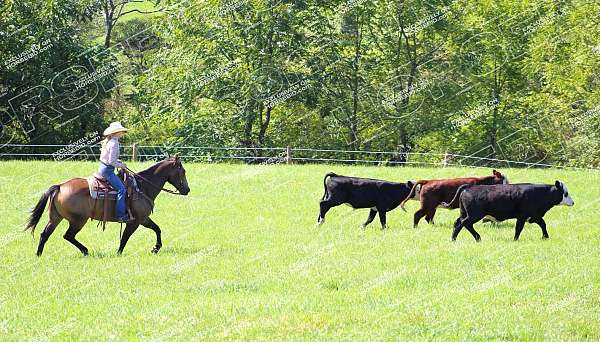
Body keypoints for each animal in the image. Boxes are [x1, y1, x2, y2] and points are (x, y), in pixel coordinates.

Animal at [25, 156, 190, 255]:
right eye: (183, 171)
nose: (187, 190)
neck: (142, 186)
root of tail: (60, 186)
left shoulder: (143, 219)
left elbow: (157, 229)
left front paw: (156, 248)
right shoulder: (136, 221)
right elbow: (125, 238)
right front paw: (119, 253)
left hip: (55, 218)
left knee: (45, 234)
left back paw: (39, 255)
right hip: (78, 220)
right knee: (68, 235)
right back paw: (85, 251)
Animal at [442, 180, 576, 242]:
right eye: (565, 193)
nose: (573, 202)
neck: (539, 193)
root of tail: (469, 187)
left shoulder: (534, 215)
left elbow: (543, 224)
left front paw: (545, 237)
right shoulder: (523, 216)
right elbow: (519, 228)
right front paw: (515, 239)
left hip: (465, 213)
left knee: (459, 223)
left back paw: (464, 238)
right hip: (474, 215)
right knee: (463, 223)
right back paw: (464, 238)